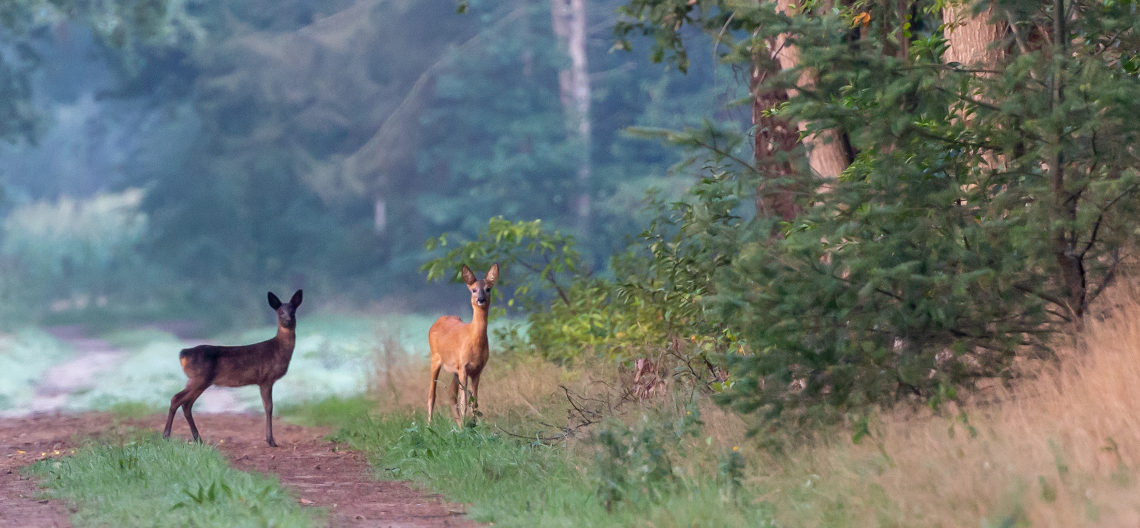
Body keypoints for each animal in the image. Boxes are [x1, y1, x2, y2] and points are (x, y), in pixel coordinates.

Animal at [163, 289, 303, 447]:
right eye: (280, 312)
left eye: (293, 310)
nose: (288, 320)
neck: (277, 350)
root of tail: (183, 353)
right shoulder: (266, 378)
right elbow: (269, 407)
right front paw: (271, 441)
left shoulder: (265, 380)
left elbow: (268, 407)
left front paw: (270, 439)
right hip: (200, 378)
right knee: (176, 399)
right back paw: (166, 436)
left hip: (197, 380)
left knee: (186, 404)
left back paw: (198, 439)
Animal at [428, 263, 497, 426]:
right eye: (473, 289)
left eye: (488, 289)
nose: (481, 299)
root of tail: (437, 321)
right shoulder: (463, 367)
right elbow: (465, 401)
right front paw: (468, 425)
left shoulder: (477, 370)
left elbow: (474, 402)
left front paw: (473, 425)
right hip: (435, 359)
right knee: (432, 394)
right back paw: (429, 425)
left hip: (454, 370)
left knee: (450, 394)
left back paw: (460, 425)